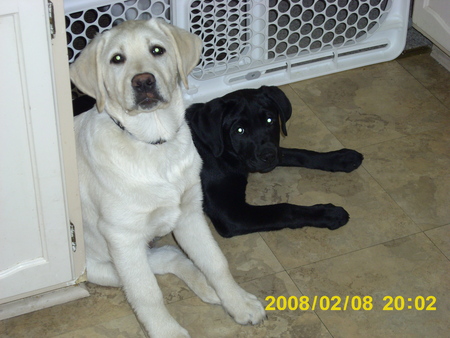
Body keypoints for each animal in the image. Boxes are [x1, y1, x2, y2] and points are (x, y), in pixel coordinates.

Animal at [71, 19, 266, 336]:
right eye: (116, 59)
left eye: (157, 50)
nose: (143, 82)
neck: (154, 142)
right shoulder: (123, 238)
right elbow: (147, 294)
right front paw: (168, 331)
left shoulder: (189, 213)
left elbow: (216, 262)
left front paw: (238, 302)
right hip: (100, 266)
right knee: (148, 273)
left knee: (169, 257)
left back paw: (209, 289)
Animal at [185, 85, 364, 238]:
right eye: (239, 130)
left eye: (270, 120)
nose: (268, 156)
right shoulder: (229, 213)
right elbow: (284, 209)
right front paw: (329, 213)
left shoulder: (275, 150)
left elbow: (300, 154)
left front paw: (341, 158)